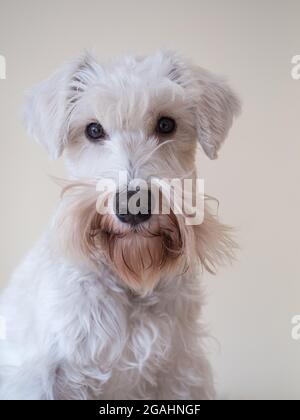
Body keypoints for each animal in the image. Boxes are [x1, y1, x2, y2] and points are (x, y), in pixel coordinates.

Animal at [0, 50, 240, 398]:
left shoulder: (179, 372)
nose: (133, 206)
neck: (130, 285)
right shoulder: (44, 375)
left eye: (166, 124)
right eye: (93, 130)